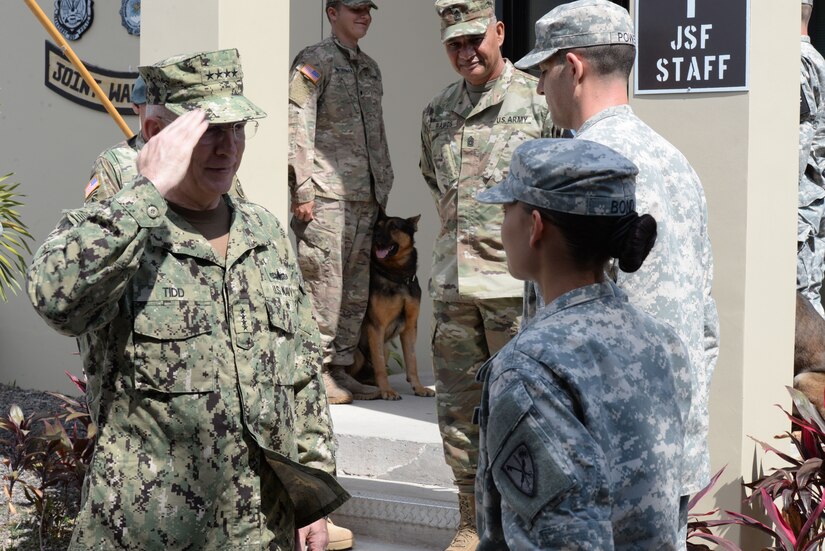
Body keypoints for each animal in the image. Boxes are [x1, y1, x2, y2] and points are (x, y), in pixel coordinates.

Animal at [350, 211, 434, 402]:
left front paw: (418, 387)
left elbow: (412, 362)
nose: (375, 237)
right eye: (377, 227)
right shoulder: (376, 327)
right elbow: (380, 366)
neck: (397, 277)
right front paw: (387, 390)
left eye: (394, 227)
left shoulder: (410, 328)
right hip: (359, 354)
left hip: (386, 348)